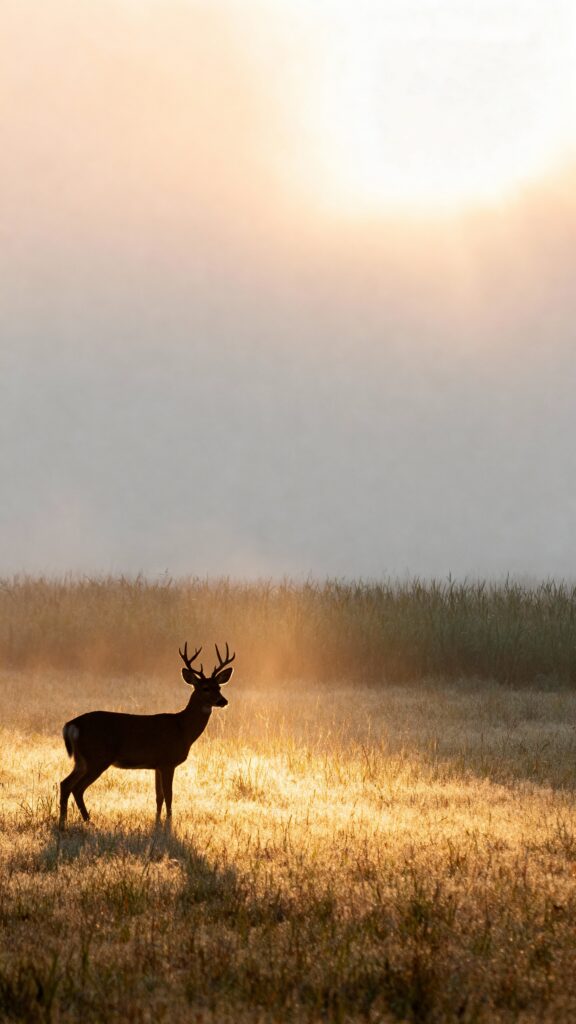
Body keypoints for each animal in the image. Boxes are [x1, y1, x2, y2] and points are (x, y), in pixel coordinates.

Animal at [59, 642, 235, 830]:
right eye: (205, 688)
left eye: (219, 687)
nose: (223, 701)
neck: (182, 729)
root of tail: (72, 724)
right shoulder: (167, 761)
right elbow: (169, 795)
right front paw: (169, 822)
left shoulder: (157, 765)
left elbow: (159, 796)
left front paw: (157, 822)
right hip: (97, 757)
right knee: (77, 788)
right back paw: (88, 821)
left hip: (82, 759)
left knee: (65, 784)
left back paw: (63, 822)